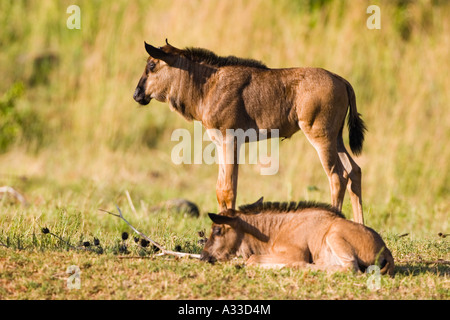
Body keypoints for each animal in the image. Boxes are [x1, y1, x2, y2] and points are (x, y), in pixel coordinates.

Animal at [133, 40, 366, 224]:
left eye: (151, 65)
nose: (137, 94)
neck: (208, 84)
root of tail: (341, 80)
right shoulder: (220, 143)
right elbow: (220, 189)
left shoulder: (231, 141)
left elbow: (229, 189)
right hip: (336, 139)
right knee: (354, 170)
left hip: (321, 137)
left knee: (337, 176)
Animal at [200, 198, 394, 276]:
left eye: (217, 230)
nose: (203, 256)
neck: (274, 230)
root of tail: (386, 251)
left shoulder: (295, 253)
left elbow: (252, 259)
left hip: (334, 236)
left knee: (350, 268)